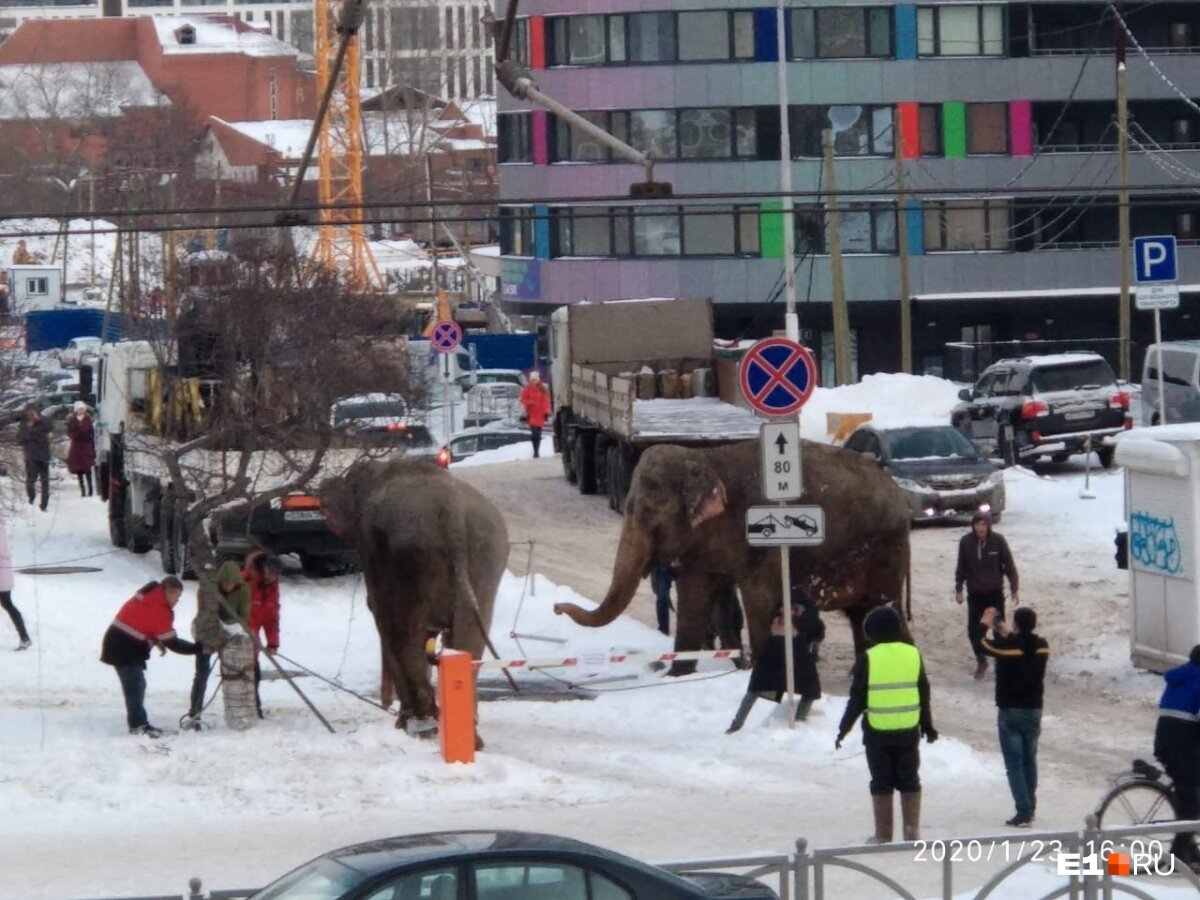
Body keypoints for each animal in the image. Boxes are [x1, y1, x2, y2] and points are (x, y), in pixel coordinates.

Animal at [319, 458, 506, 734]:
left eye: (349, 476)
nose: (324, 483)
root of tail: (452, 512)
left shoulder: (371, 547)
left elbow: (379, 611)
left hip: (413, 557)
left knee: (406, 629)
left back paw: (418, 720)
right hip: (487, 555)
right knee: (467, 639)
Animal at [552, 441, 907, 667]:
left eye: (649, 513)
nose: (556, 607)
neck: (704, 458)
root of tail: (900, 495)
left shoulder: (757, 540)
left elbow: (759, 601)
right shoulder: (704, 547)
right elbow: (695, 598)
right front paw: (678, 674)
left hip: (885, 552)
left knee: (882, 610)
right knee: (863, 618)